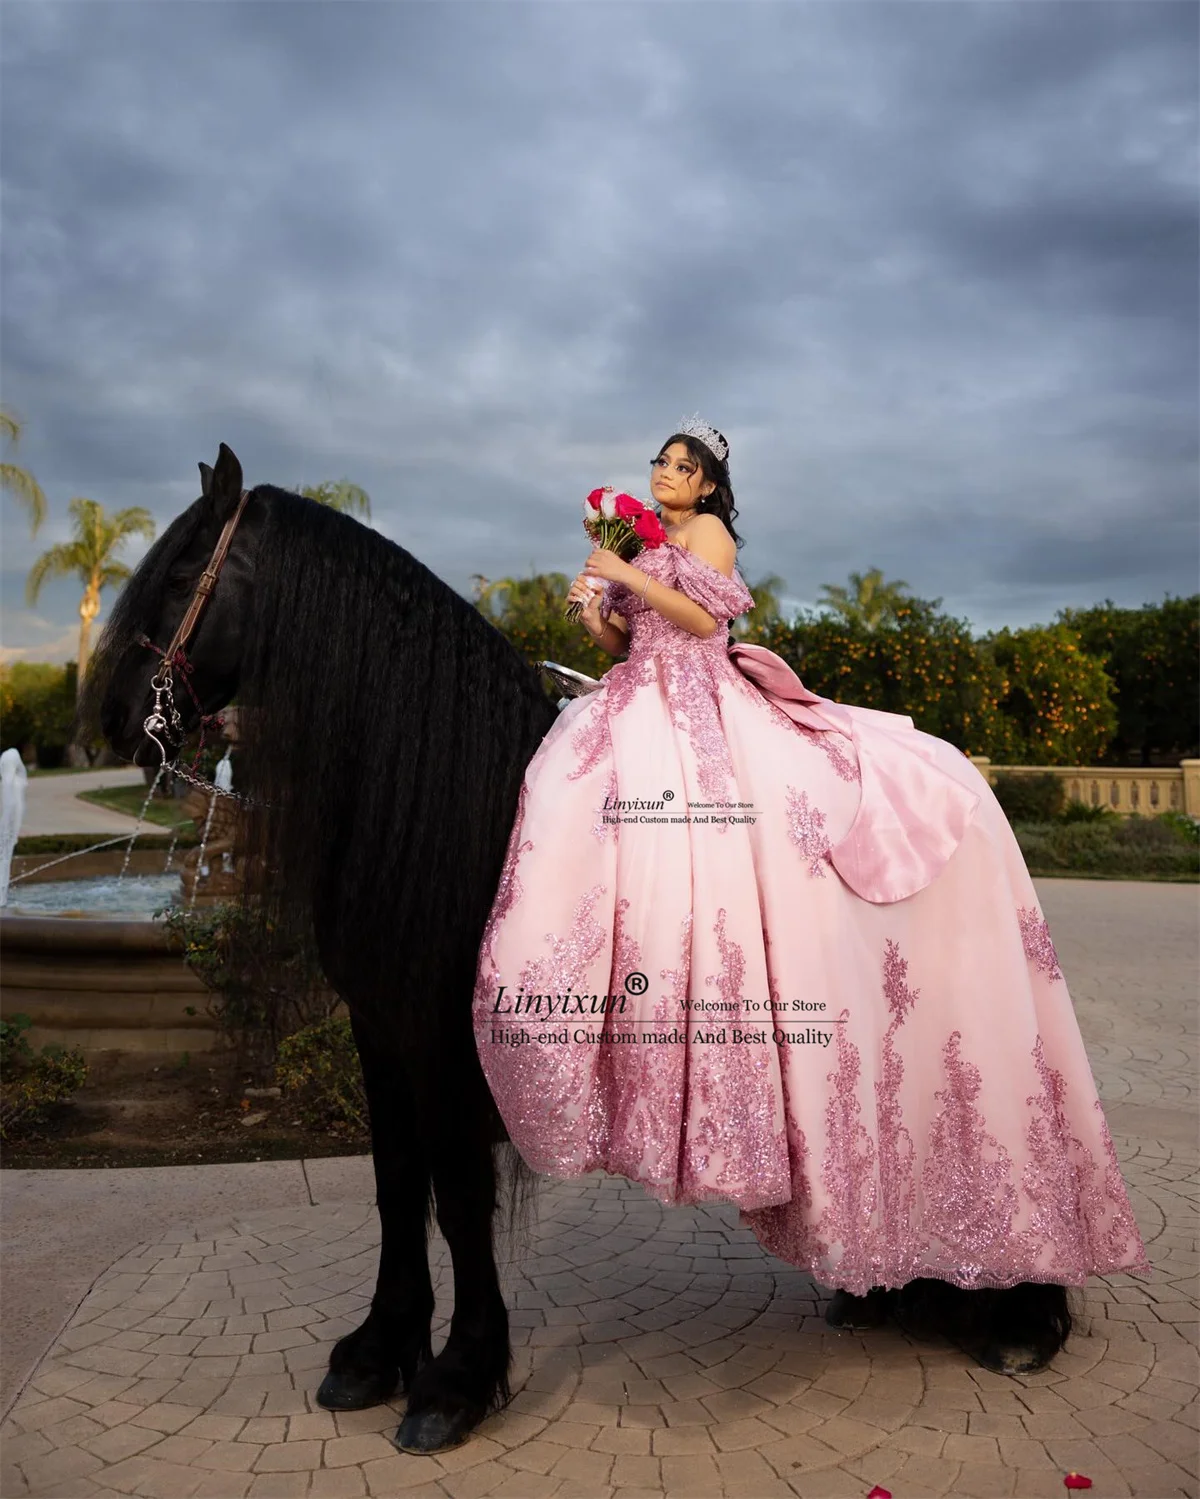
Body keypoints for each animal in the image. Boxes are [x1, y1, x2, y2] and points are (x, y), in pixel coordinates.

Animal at [84, 440, 1072, 1451]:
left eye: (177, 574)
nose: (109, 720)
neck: (451, 802)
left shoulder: (455, 1040)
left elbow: (459, 1195)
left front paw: (458, 1378)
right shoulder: (381, 1026)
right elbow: (398, 1182)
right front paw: (378, 1348)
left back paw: (1025, 1312)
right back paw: (893, 1289)